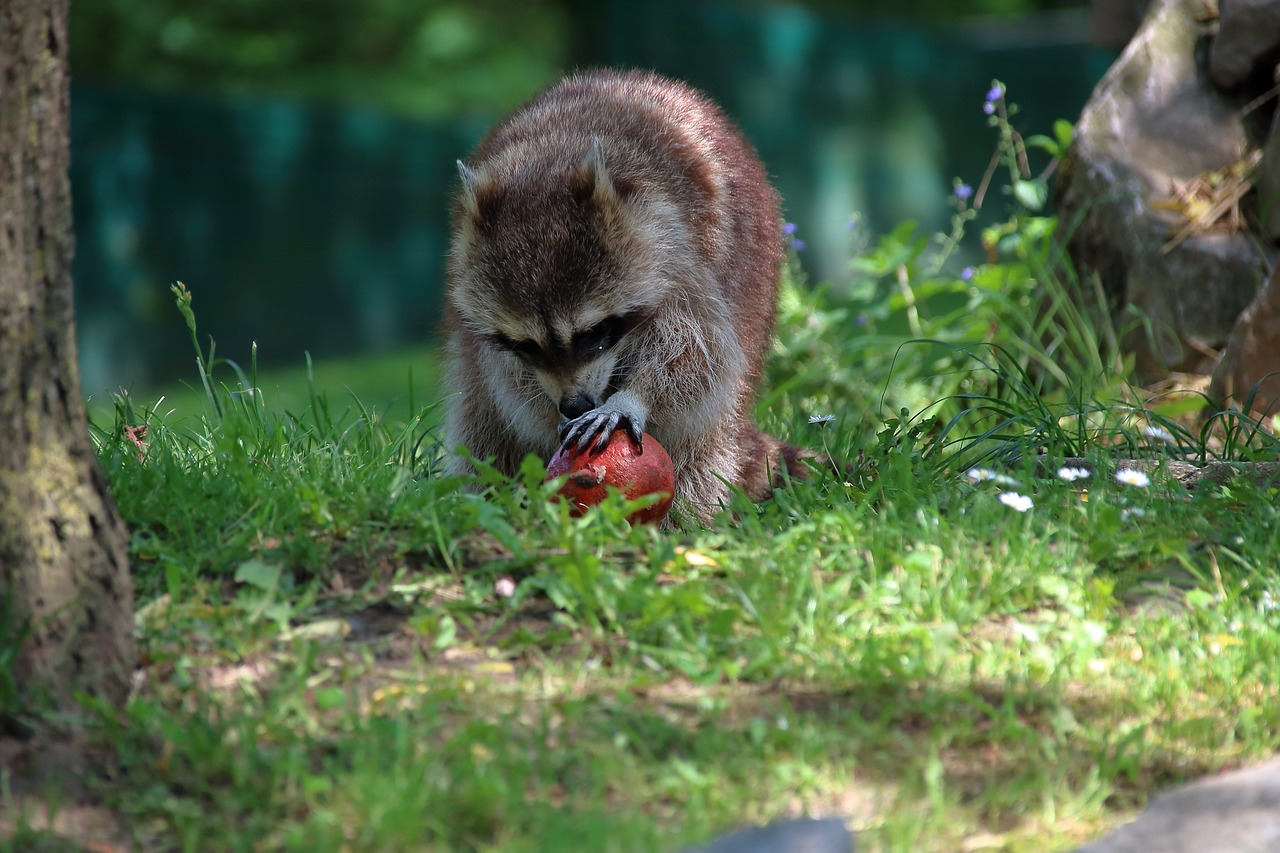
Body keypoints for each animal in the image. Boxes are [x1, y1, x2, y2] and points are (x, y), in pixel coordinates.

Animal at [440, 68, 808, 517]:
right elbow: (510, 387)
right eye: (526, 346)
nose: (574, 405)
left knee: (707, 436)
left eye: (593, 334)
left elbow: (701, 355)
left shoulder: (681, 253)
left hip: (753, 286)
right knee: (481, 419)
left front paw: (632, 398)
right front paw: (547, 414)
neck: (547, 164)